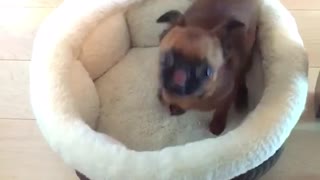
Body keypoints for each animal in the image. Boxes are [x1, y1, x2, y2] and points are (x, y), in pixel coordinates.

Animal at [158, 0, 260, 135]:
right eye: (165, 59)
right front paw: (176, 106)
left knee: (242, 77)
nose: (181, 74)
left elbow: (221, 110)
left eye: (207, 72)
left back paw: (241, 98)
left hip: (247, 59)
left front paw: (217, 124)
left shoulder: (227, 96)